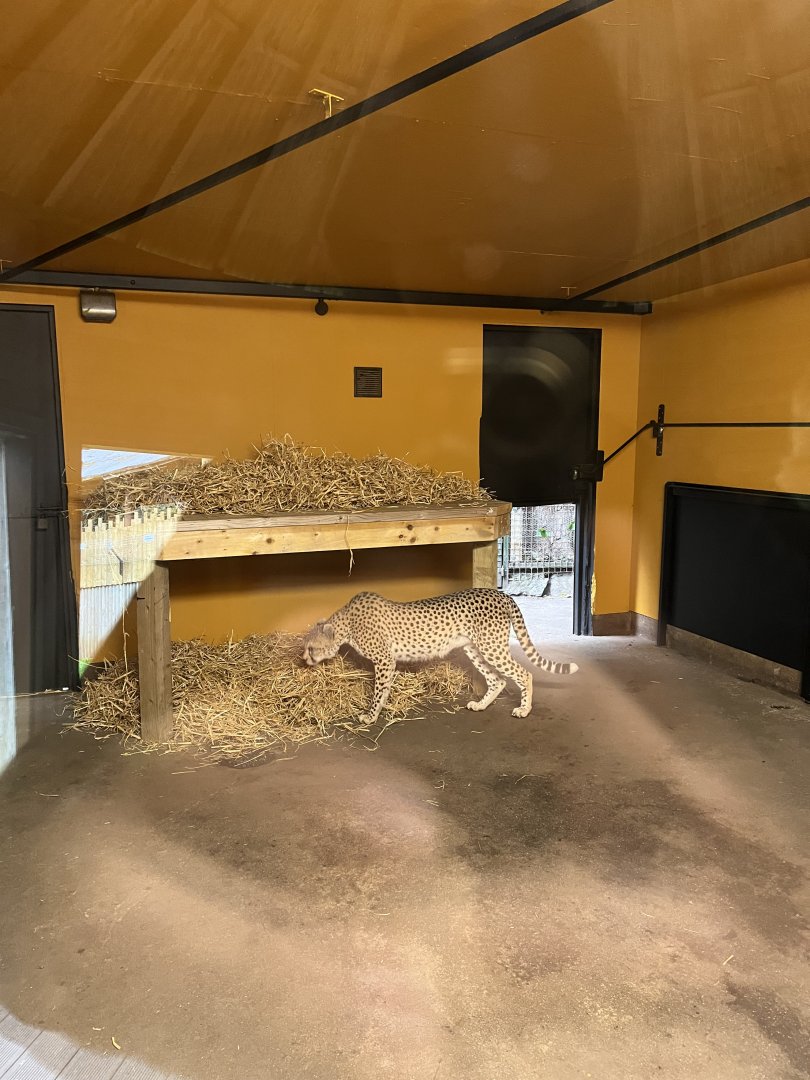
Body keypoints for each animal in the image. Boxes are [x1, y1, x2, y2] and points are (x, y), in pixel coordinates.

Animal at [302, 588, 578, 724]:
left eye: (311, 648)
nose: (304, 659)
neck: (346, 623)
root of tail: (501, 593)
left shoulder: (384, 660)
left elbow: (379, 691)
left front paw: (371, 716)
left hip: (492, 646)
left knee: (524, 673)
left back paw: (524, 709)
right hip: (473, 648)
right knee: (497, 679)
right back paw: (480, 705)